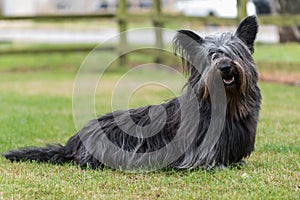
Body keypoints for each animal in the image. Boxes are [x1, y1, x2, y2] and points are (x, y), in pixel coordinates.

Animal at [2, 16, 260, 171]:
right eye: (211, 56)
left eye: (234, 52)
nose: (225, 67)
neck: (227, 104)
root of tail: (73, 142)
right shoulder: (198, 156)